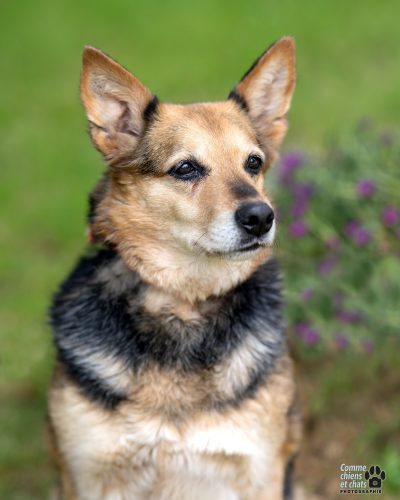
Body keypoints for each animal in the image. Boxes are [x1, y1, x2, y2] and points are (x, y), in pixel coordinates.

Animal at [47, 37, 300, 498]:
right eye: (185, 168)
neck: (183, 302)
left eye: (253, 163)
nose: (260, 216)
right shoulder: (88, 474)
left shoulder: (260, 471)